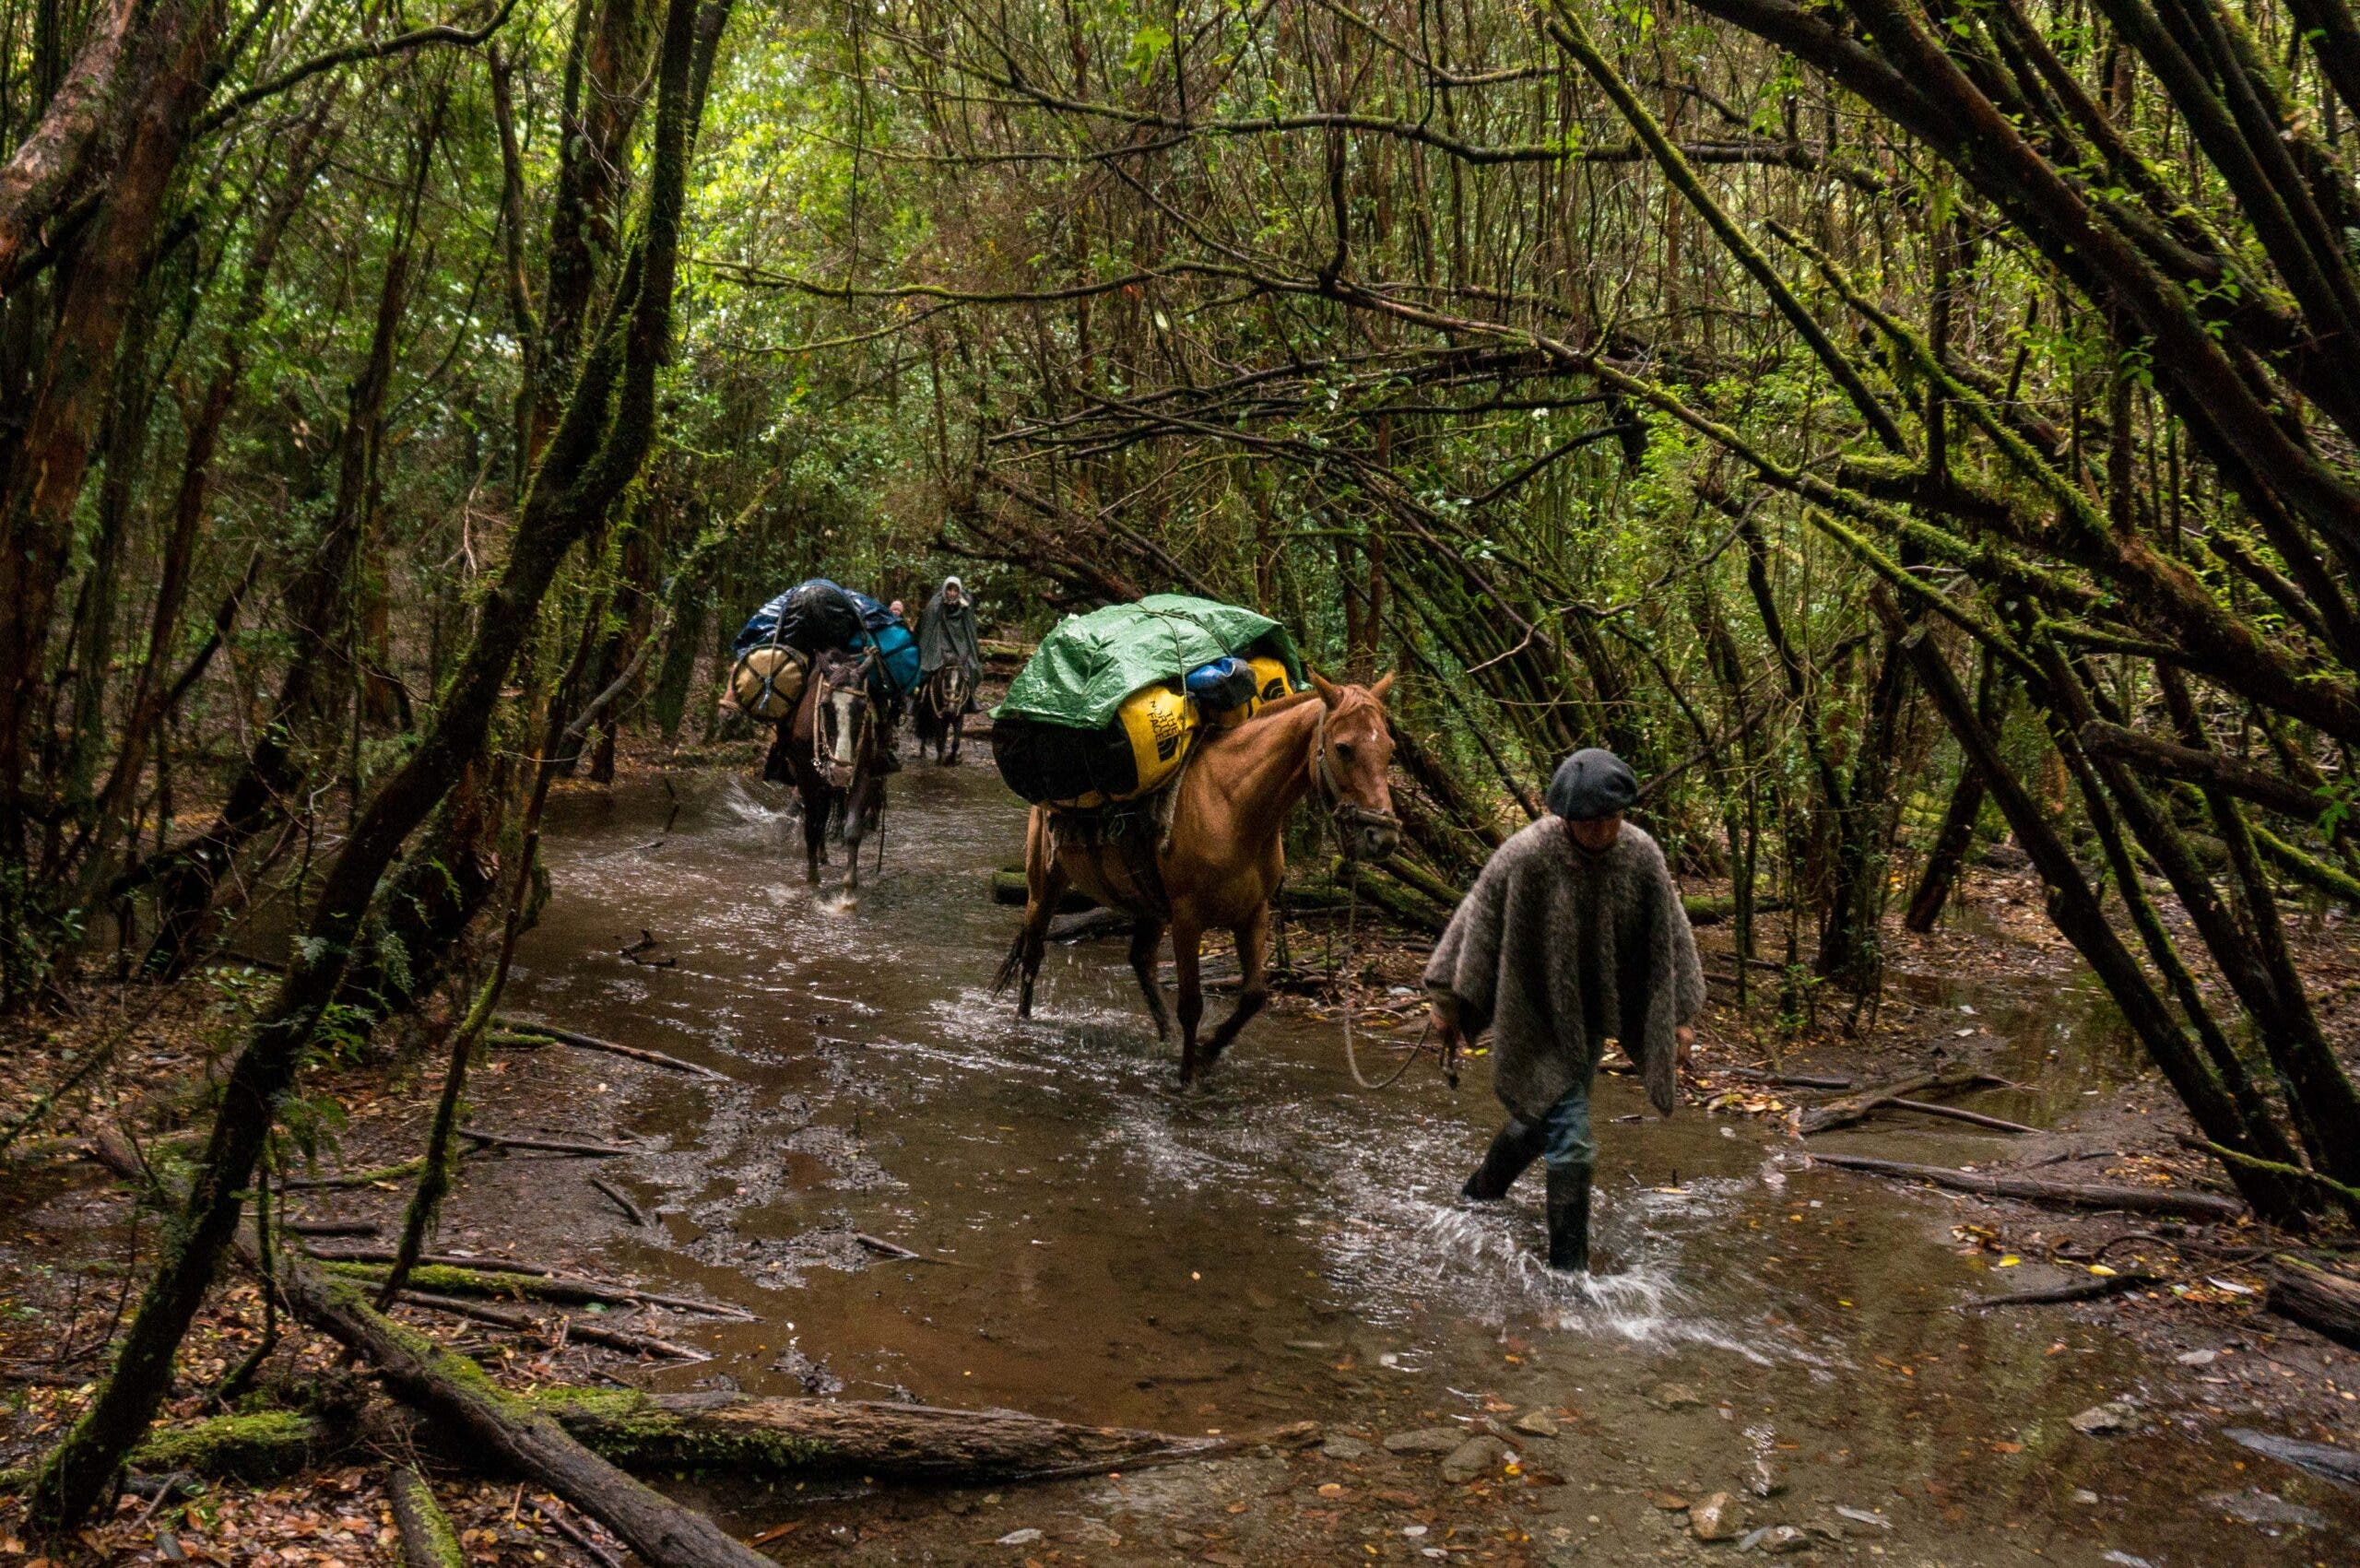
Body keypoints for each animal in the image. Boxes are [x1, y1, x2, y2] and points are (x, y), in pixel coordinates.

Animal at [786, 647, 889, 890]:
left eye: (863, 707)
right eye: (825, 706)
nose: (841, 773)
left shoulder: (862, 774)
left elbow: (852, 829)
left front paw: (849, 884)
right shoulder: (807, 780)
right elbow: (812, 826)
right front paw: (813, 878)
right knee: (819, 818)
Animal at [996, 671, 1399, 1083]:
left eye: (1391, 749)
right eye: (1343, 748)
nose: (1382, 837)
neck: (1233, 807)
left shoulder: (1253, 913)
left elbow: (1254, 996)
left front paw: (1206, 1053)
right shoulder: (1189, 919)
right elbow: (1191, 1004)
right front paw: (1187, 1076)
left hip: (1150, 903)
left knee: (1141, 960)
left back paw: (1165, 1039)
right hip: (1044, 885)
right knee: (1033, 954)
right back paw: (1025, 1022)